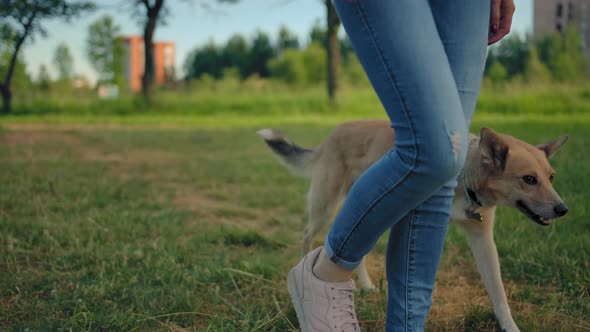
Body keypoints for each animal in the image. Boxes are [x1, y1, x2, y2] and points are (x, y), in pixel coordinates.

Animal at [258, 120, 568, 332]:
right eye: (529, 179)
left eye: (551, 177)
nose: (563, 210)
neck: (464, 175)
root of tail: (333, 133)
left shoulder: (483, 240)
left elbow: (498, 291)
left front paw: (509, 326)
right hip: (328, 203)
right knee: (309, 235)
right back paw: (302, 271)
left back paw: (366, 284)